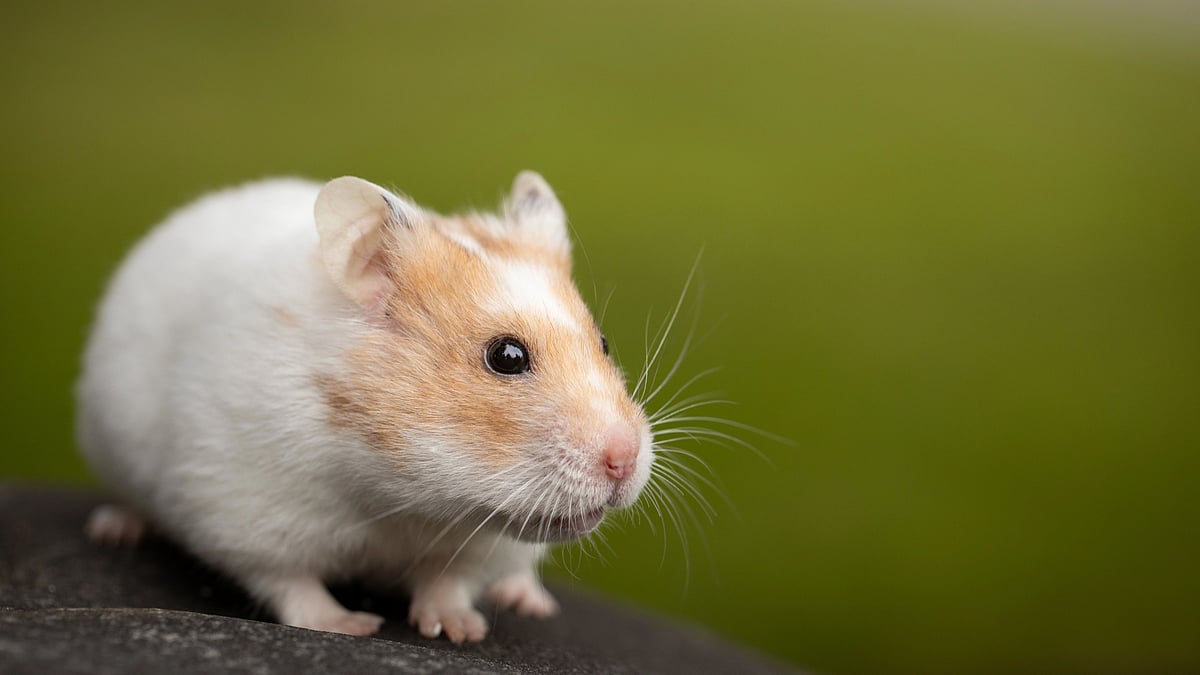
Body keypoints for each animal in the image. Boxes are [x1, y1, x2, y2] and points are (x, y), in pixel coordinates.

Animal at [75, 172, 654, 642]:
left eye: (604, 343)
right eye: (506, 356)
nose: (624, 461)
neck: (403, 496)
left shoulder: (479, 546)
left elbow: (448, 581)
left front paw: (460, 630)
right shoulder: (242, 507)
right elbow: (290, 583)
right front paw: (352, 626)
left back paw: (527, 599)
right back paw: (115, 528)